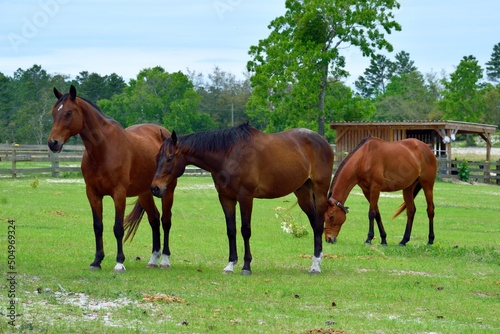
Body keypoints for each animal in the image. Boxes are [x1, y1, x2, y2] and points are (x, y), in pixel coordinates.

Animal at [47, 84, 176, 272]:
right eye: (53, 112)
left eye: (69, 112)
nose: (53, 143)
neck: (103, 149)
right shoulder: (93, 194)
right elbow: (97, 226)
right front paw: (97, 261)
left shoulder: (119, 194)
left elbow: (118, 227)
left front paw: (119, 262)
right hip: (145, 193)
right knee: (154, 219)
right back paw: (153, 259)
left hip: (168, 191)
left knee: (166, 221)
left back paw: (165, 260)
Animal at [143, 124, 334, 276]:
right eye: (156, 158)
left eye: (169, 158)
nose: (155, 188)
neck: (229, 155)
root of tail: (323, 141)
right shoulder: (226, 198)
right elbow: (231, 230)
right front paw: (230, 265)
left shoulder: (246, 197)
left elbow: (245, 230)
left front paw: (246, 266)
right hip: (302, 193)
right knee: (314, 223)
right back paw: (317, 260)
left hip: (319, 191)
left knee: (318, 224)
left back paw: (316, 266)